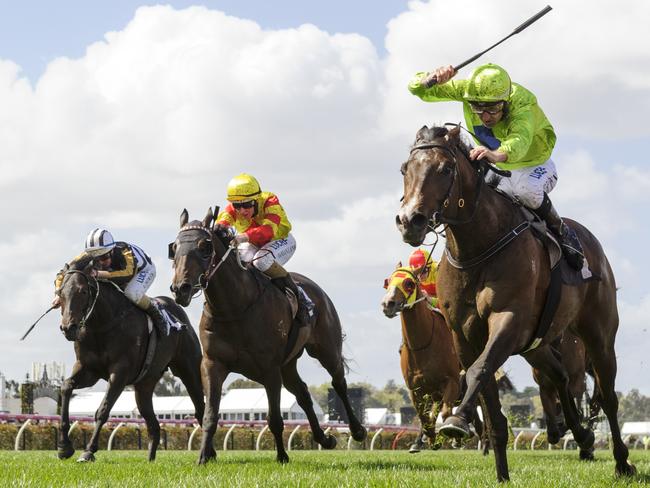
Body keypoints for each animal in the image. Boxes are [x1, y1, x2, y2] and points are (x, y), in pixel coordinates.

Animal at [55, 258, 204, 464]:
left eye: (83, 291)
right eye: (61, 293)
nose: (68, 328)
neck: (102, 325)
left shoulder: (120, 373)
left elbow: (103, 410)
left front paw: (88, 451)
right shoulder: (88, 369)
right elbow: (66, 387)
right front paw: (64, 447)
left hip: (189, 371)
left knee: (200, 409)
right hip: (144, 386)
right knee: (154, 425)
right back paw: (150, 459)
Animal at [170, 209, 368, 466]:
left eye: (204, 246)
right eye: (174, 248)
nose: (180, 288)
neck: (234, 308)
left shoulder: (269, 369)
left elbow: (274, 418)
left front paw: (282, 456)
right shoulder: (213, 364)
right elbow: (209, 414)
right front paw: (204, 457)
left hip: (326, 349)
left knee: (339, 384)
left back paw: (357, 430)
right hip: (288, 364)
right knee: (303, 393)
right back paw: (324, 439)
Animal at [378, 264, 484, 454]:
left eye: (409, 283)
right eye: (388, 282)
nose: (387, 304)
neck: (423, 344)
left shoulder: (452, 382)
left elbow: (446, 413)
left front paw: (456, 435)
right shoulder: (415, 389)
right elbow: (424, 418)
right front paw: (430, 439)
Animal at [394, 125, 632, 480]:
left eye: (446, 169)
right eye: (404, 169)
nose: (411, 220)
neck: (479, 247)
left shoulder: (508, 320)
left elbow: (479, 371)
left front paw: (457, 419)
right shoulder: (464, 335)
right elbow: (490, 405)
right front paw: (501, 474)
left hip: (599, 335)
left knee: (608, 396)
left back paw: (621, 461)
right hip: (536, 344)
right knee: (559, 377)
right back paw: (583, 436)